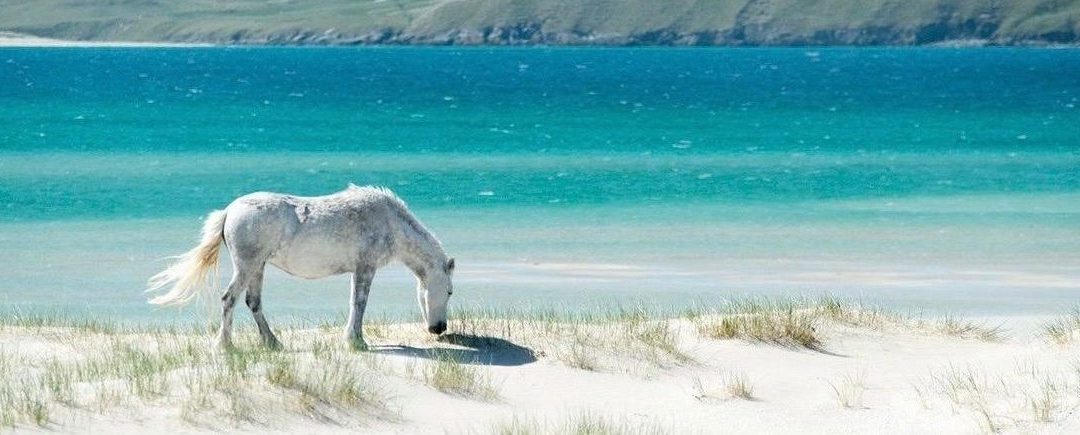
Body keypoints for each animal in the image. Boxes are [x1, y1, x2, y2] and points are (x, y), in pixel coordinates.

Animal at [146, 184, 455, 350]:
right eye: (450, 292)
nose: (439, 329)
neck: (390, 221)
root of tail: (230, 211)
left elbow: (356, 304)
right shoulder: (365, 268)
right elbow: (359, 304)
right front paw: (356, 341)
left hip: (257, 267)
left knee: (253, 302)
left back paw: (272, 342)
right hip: (246, 266)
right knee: (229, 299)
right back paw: (226, 345)